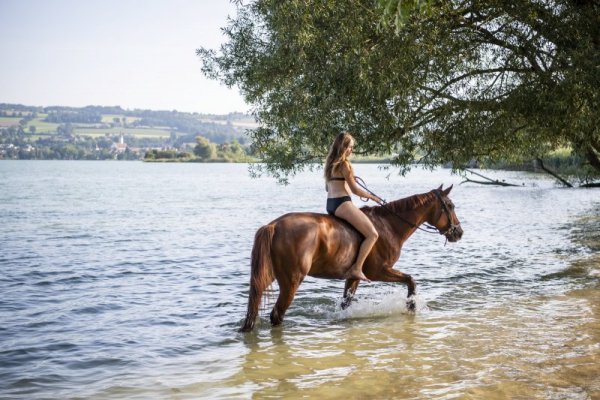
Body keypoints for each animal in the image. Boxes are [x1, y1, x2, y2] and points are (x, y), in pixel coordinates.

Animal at [240, 184, 464, 332]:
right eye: (450, 205)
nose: (459, 232)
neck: (389, 225)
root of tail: (274, 225)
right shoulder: (379, 271)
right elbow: (411, 280)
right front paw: (411, 306)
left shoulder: (354, 276)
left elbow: (346, 302)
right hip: (291, 281)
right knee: (277, 314)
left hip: (269, 276)